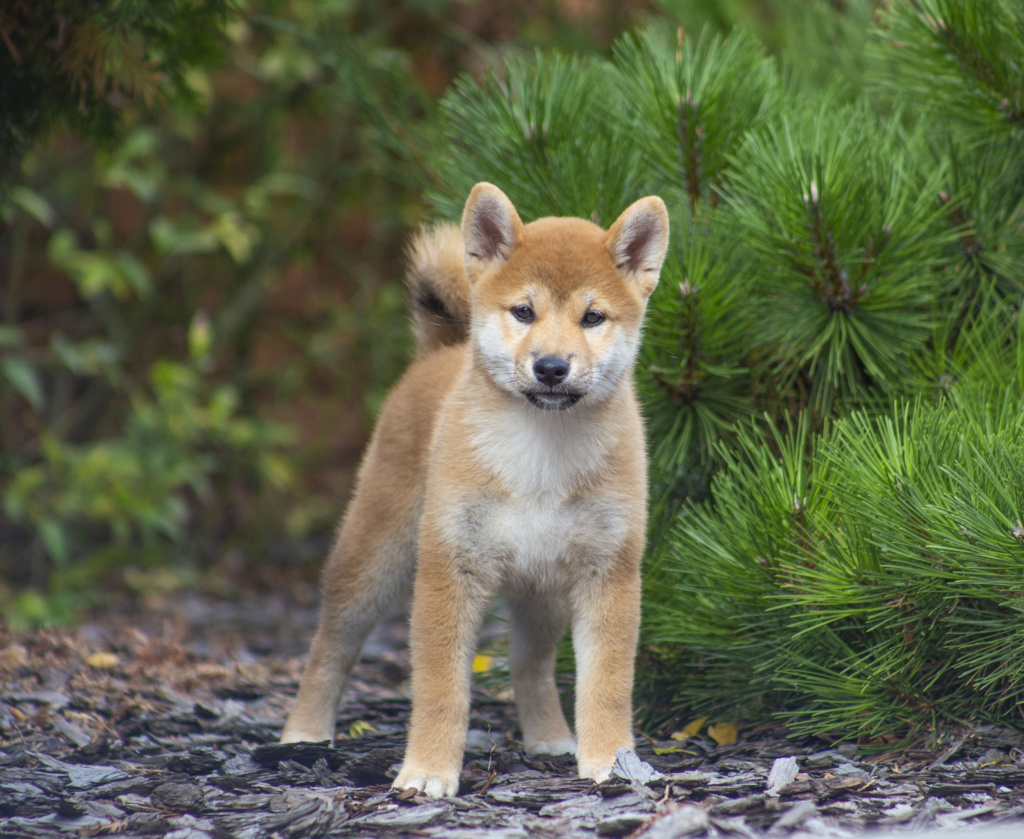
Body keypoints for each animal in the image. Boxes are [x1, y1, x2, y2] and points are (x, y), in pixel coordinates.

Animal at [280, 180, 667, 799]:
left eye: (593, 317)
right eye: (524, 311)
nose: (551, 366)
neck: (541, 456)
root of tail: (439, 350)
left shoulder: (609, 571)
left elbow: (606, 684)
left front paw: (611, 760)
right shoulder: (449, 566)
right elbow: (441, 688)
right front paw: (427, 771)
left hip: (541, 591)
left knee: (529, 664)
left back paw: (550, 737)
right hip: (373, 559)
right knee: (331, 645)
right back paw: (305, 733)